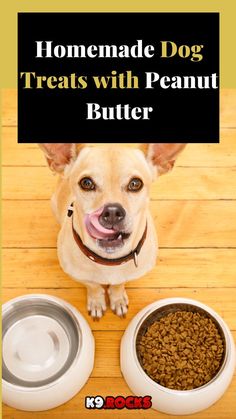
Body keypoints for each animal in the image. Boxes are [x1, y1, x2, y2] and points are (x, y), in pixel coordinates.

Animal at [39, 144, 186, 318]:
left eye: (135, 184)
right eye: (86, 183)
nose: (112, 212)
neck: (109, 262)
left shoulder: (125, 276)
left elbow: (118, 284)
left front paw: (118, 299)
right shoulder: (81, 277)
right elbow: (93, 286)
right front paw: (96, 301)